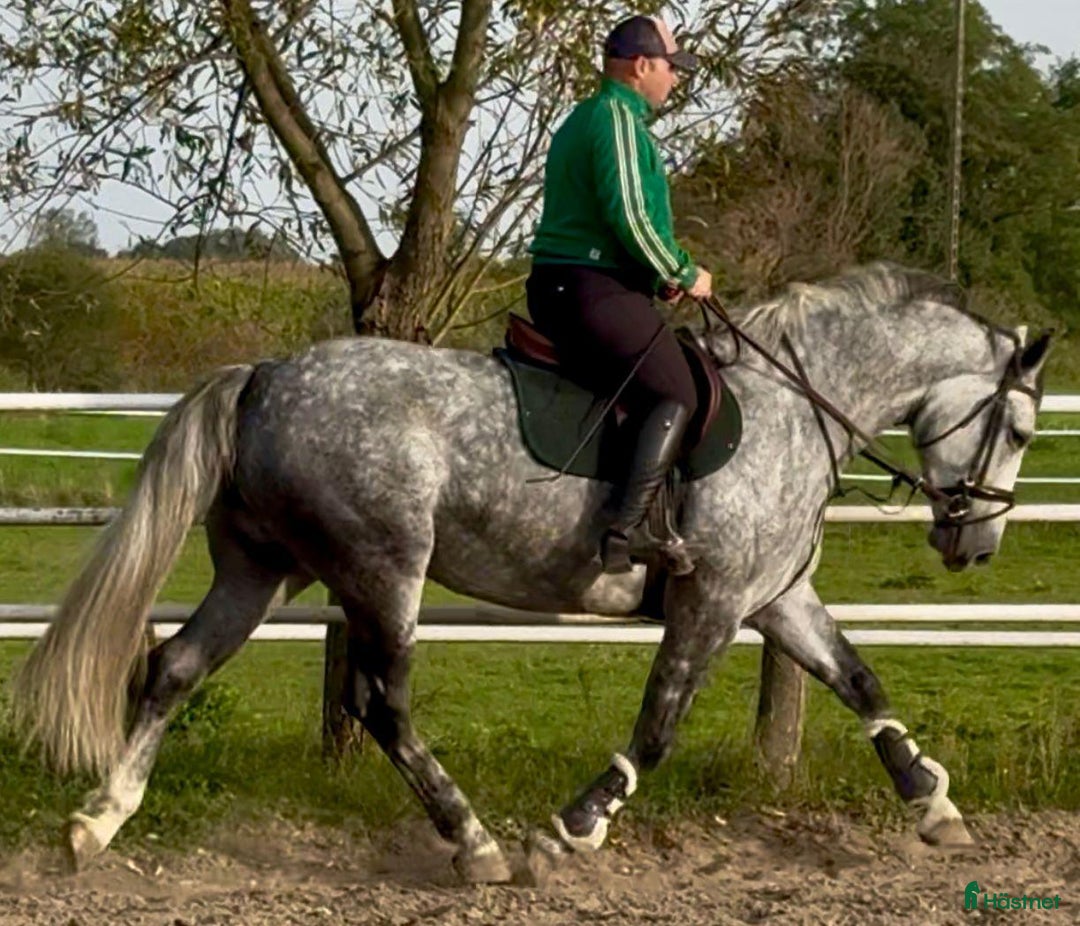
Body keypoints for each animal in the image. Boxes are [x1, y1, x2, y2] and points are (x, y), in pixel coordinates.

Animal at [11, 262, 1050, 883]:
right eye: (1021, 429)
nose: (977, 547)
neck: (798, 403)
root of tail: (265, 375)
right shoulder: (713, 600)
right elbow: (659, 724)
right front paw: (576, 825)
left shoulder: (778, 598)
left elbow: (862, 682)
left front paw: (935, 806)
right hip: (383, 569)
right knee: (380, 704)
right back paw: (474, 844)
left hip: (263, 570)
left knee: (176, 669)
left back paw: (98, 820)